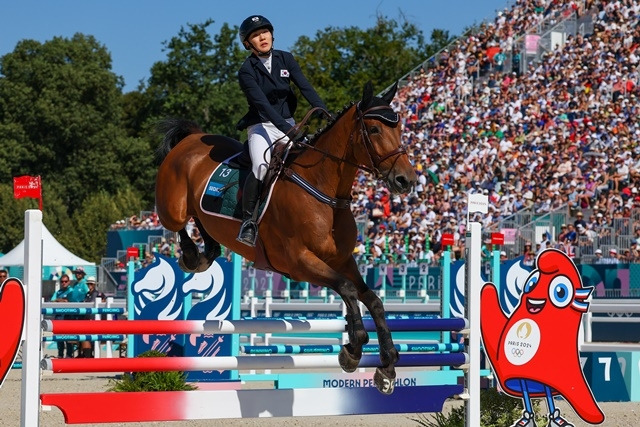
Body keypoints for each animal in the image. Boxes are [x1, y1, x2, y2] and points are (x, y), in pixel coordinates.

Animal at [154, 81, 416, 394]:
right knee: (178, 223)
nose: (406, 180)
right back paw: (192, 256)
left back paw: (208, 252)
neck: (323, 189)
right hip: (173, 207)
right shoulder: (299, 262)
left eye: (399, 128)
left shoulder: (342, 261)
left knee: (204, 223)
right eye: (375, 129)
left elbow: (372, 299)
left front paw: (387, 365)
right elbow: (347, 289)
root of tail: (191, 139)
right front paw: (353, 350)